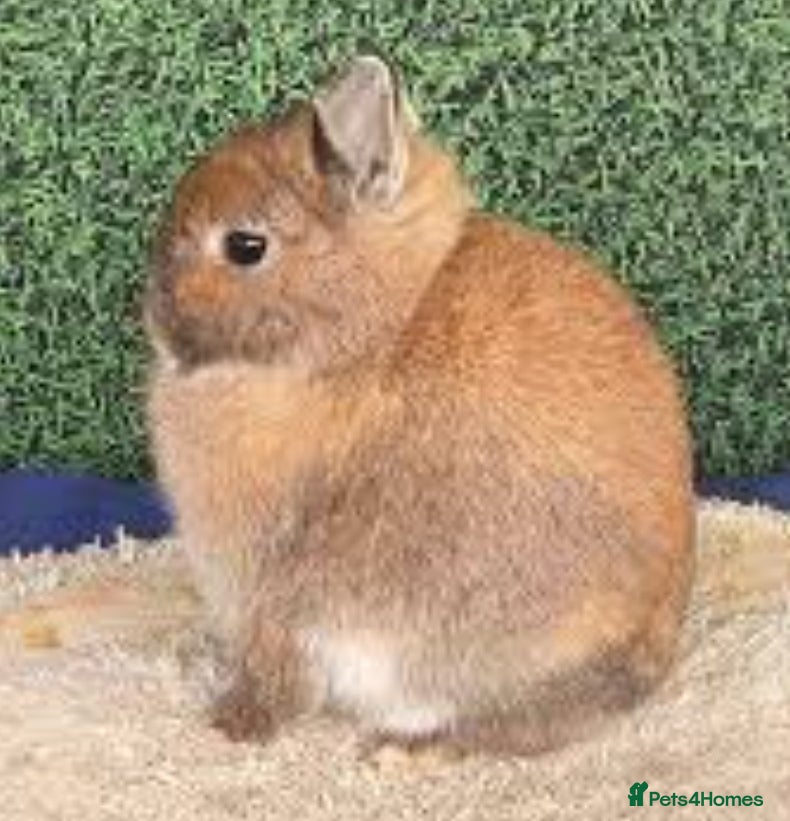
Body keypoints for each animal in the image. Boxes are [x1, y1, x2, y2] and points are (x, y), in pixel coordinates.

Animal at [144, 54, 694, 760]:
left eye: (245, 246)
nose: (157, 316)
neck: (360, 344)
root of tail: (648, 664)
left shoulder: (275, 595)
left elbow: (276, 671)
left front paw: (233, 724)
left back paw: (402, 749)